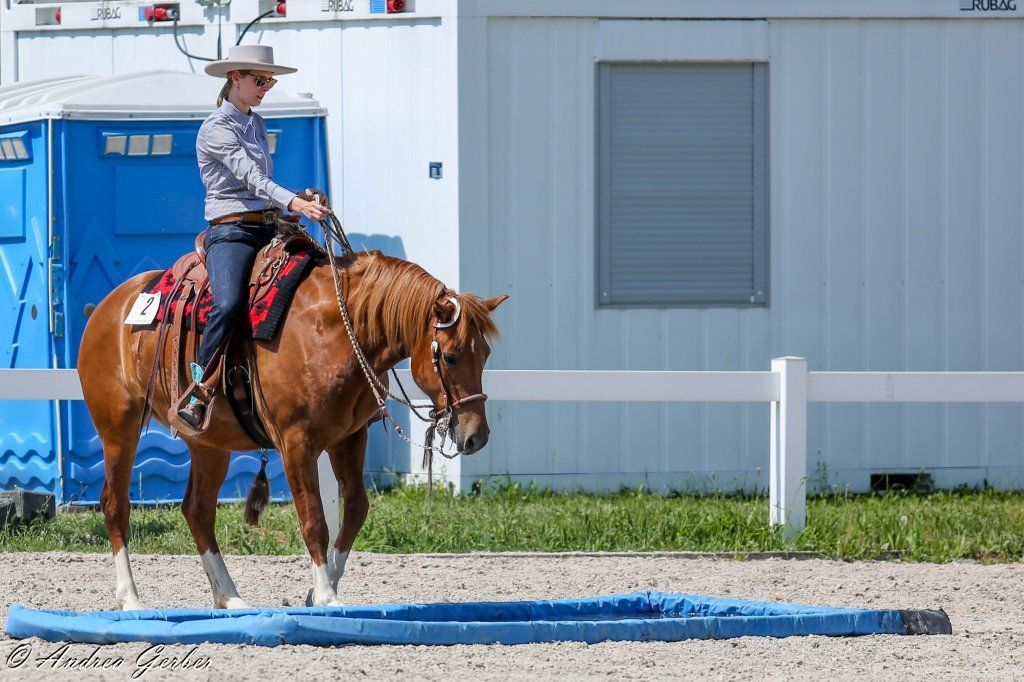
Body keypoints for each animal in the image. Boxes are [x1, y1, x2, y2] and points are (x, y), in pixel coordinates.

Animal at [78, 248, 507, 610]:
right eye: (449, 357)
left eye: (486, 354)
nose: (477, 435)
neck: (334, 332)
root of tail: (108, 308)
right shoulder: (297, 444)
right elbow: (314, 519)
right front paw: (327, 596)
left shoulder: (350, 438)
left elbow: (355, 510)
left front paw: (318, 592)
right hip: (119, 429)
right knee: (115, 505)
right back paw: (131, 599)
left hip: (209, 444)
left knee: (197, 510)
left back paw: (230, 597)